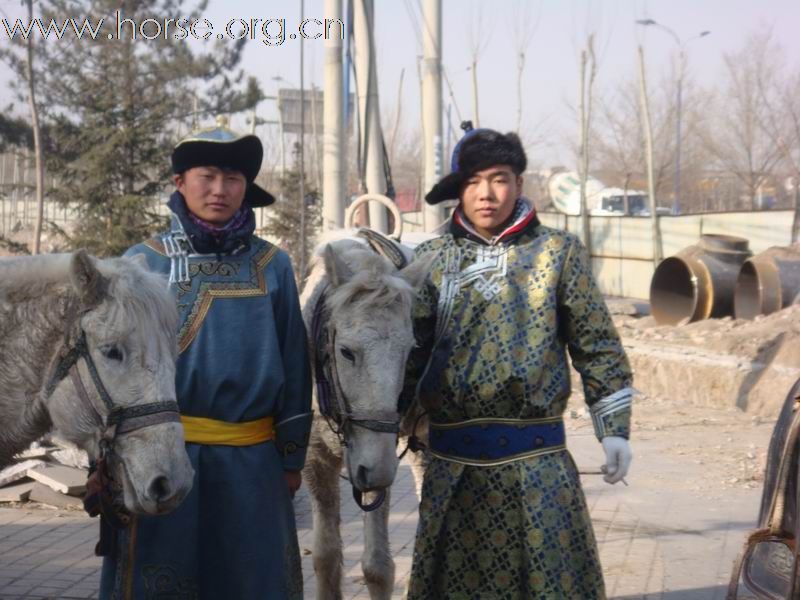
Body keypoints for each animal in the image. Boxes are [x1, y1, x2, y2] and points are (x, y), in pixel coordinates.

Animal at [300, 233, 428, 600]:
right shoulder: (315, 460)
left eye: (410, 350)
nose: (378, 469)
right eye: (346, 351)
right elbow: (325, 557)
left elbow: (377, 568)